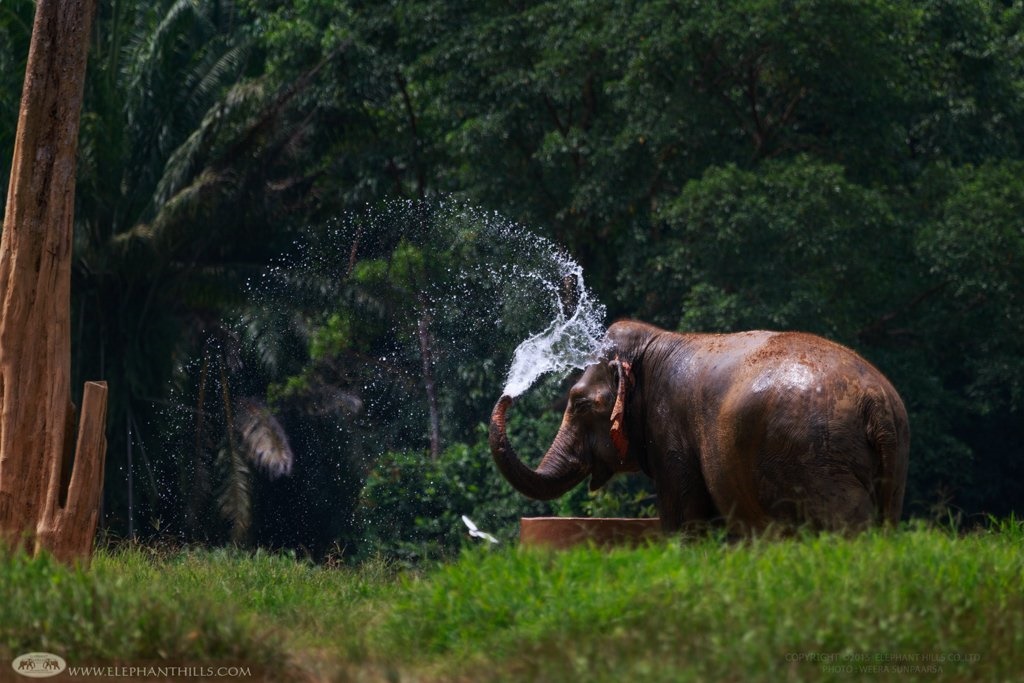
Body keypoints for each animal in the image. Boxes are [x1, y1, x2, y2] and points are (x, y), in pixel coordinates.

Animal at [489, 320, 910, 534]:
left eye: (578, 403)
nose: (508, 393)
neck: (656, 341)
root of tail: (876, 400)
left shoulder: (670, 431)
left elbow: (685, 519)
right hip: (890, 467)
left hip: (820, 462)